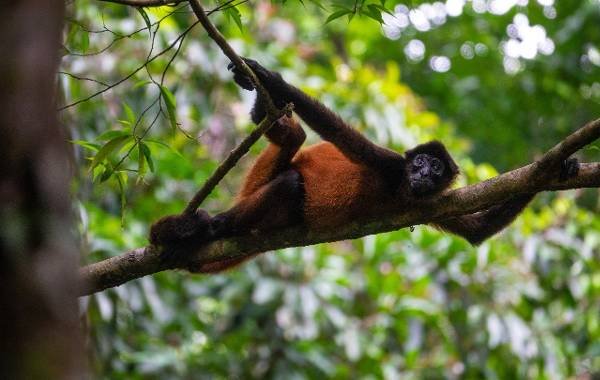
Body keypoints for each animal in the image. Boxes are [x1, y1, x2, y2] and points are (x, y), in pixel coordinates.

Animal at [151, 57, 580, 274]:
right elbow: (340, 134)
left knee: (293, 155)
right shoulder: (389, 164)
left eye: (437, 171)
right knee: (292, 163)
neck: (401, 187)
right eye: (420, 163)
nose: (423, 173)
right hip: (257, 179)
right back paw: (209, 227)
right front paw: (271, 77)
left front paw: (559, 168)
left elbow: (478, 231)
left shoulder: (431, 201)